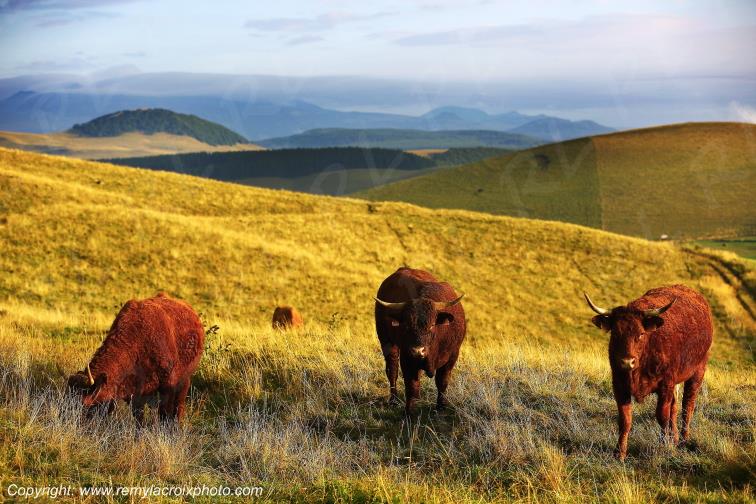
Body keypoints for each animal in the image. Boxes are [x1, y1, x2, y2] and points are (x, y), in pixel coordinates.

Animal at [67, 293, 205, 426]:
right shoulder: (135, 393)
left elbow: (164, 413)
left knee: (179, 404)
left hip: (185, 379)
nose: (72, 422)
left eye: (85, 404)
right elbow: (138, 416)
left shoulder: (168, 385)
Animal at [375, 267, 466, 414]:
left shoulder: (452, 355)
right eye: (406, 325)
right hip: (387, 342)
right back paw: (394, 400)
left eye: (432, 325)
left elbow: (442, 381)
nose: (418, 351)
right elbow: (411, 385)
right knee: (392, 370)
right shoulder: (407, 358)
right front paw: (409, 412)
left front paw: (441, 407)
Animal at [584, 285, 713, 461]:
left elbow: (662, 416)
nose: (627, 362)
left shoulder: (665, 385)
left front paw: (664, 445)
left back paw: (684, 439)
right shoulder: (619, 385)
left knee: (688, 406)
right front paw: (619, 453)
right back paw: (675, 438)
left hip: (698, 371)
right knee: (675, 407)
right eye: (615, 333)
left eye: (641, 334)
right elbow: (625, 420)